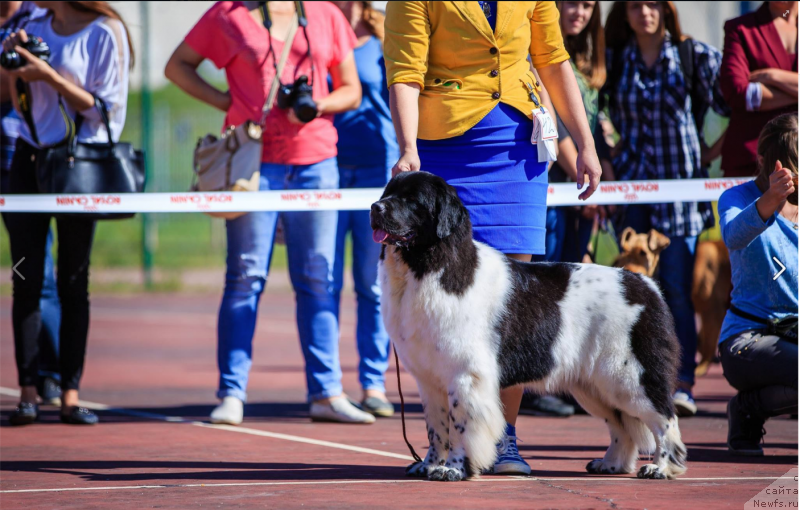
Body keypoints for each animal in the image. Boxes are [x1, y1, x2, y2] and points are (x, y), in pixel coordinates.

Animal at [368, 171, 688, 482]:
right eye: (388, 193)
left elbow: (461, 427)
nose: (375, 207)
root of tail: (645, 285)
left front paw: (454, 470)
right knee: (621, 425)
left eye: (412, 200)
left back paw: (661, 468)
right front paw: (429, 465)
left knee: (664, 419)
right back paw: (611, 464)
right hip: (595, 385)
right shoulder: (430, 380)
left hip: (629, 377)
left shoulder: (465, 376)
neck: (426, 267)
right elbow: (436, 429)